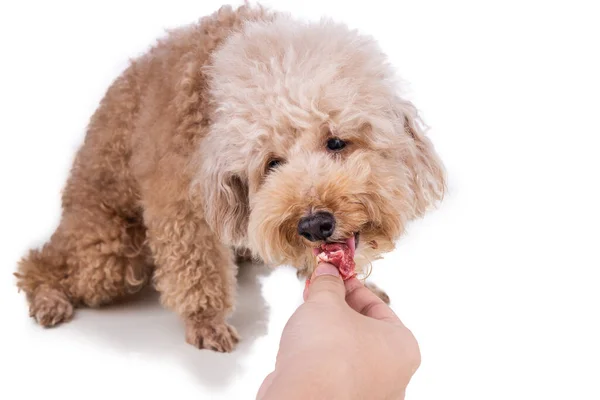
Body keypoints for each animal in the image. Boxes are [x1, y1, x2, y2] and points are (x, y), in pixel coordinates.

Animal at [16, 4, 442, 352]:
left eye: (336, 142)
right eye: (271, 163)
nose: (314, 224)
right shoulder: (181, 206)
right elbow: (197, 268)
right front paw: (206, 322)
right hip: (109, 251)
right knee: (42, 262)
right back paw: (48, 298)